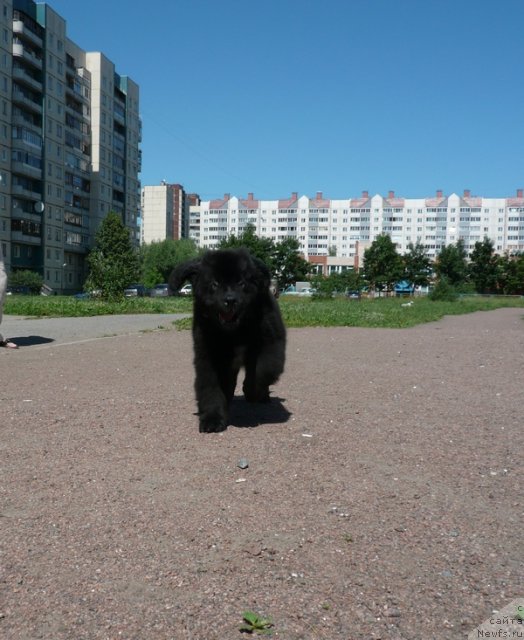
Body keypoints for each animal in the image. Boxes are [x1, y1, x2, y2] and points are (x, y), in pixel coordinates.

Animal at [169, 248, 286, 432]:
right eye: (215, 284)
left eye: (241, 283)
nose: (230, 300)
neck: (234, 332)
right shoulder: (208, 355)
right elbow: (211, 387)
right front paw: (212, 418)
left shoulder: (272, 344)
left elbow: (263, 371)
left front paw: (251, 391)